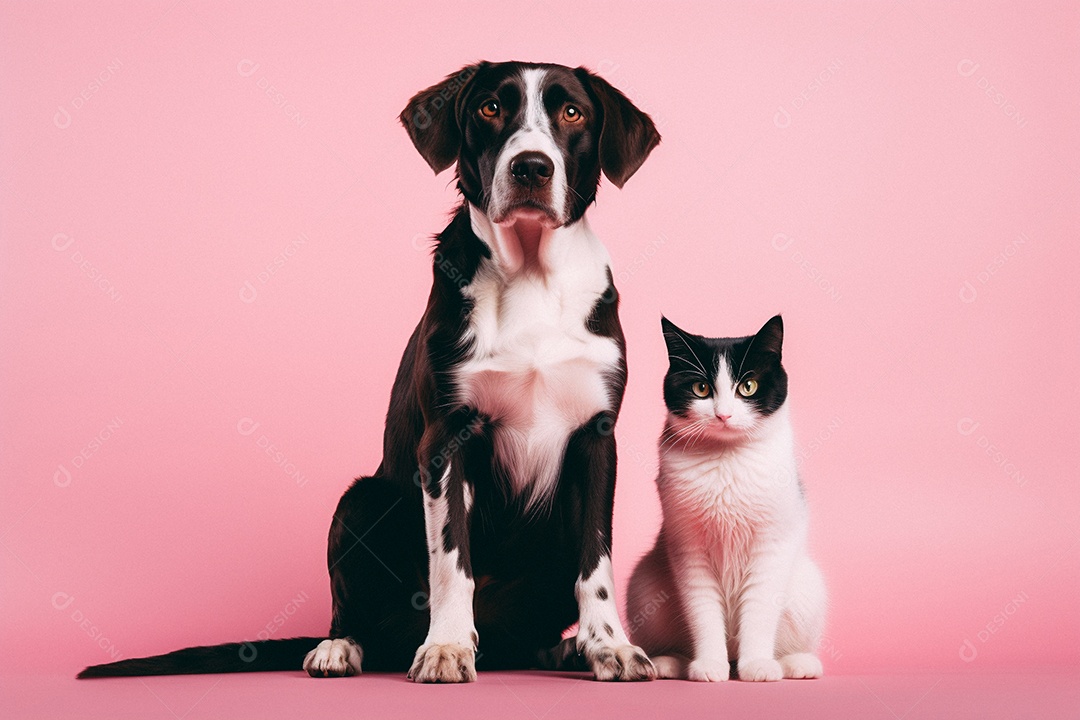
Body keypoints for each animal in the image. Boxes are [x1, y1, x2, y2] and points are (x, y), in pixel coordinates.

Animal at [78, 60, 656, 682]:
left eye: (572, 112)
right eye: (490, 108)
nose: (531, 167)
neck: (530, 275)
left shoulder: (596, 439)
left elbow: (595, 564)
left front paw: (609, 645)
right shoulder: (445, 439)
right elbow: (451, 562)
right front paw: (447, 645)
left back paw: (559, 648)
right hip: (360, 501)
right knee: (362, 613)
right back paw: (341, 647)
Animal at [626, 315, 825, 682]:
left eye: (748, 386)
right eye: (701, 389)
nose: (723, 414)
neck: (726, 458)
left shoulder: (770, 547)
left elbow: (760, 610)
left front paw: (758, 665)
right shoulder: (689, 548)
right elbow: (703, 611)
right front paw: (709, 665)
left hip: (808, 588)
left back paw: (796, 663)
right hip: (645, 585)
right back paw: (670, 661)